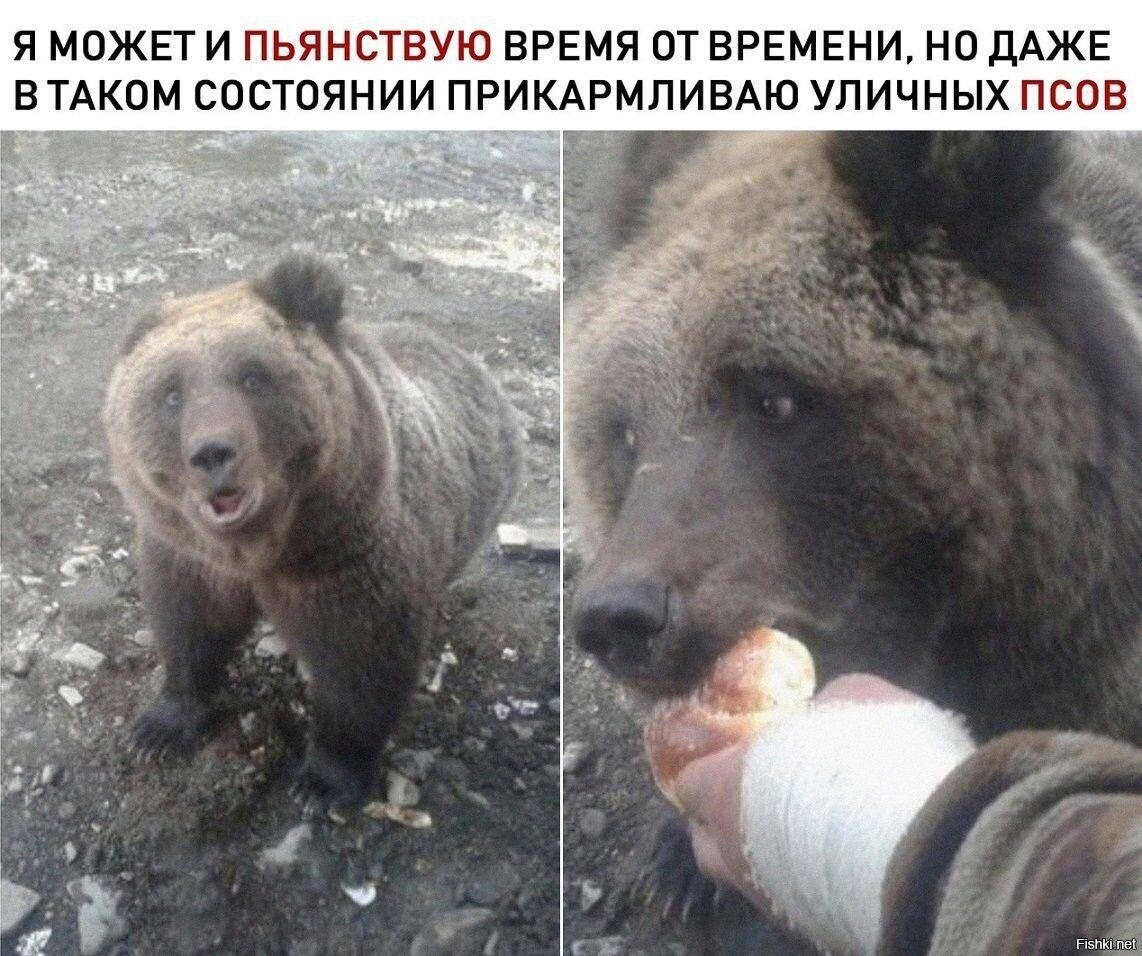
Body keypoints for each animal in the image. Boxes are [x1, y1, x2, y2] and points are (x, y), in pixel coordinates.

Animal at [103, 254, 522, 810]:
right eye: (171, 392)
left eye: (253, 375)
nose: (212, 453)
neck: (263, 548)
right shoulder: (188, 556)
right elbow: (187, 630)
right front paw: (157, 730)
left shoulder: (345, 559)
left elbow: (359, 670)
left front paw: (324, 783)